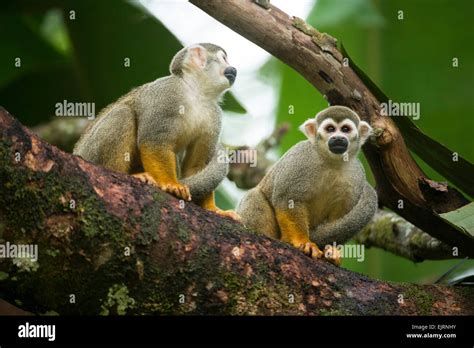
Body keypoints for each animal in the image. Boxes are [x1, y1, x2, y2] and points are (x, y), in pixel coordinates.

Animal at [74, 42, 239, 219]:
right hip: (90, 153)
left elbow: (197, 166)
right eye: (224, 58)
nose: (234, 69)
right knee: (123, 114)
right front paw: (171, 184)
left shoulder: (214, 115)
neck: (196, 94)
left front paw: (213, 210)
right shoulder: (168, 93)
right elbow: (154, 142)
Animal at [237, 106, 378, 264]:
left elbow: (339, 218)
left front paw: (332, 249)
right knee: (254, 196)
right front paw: (304, 241)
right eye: (330, 129)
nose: (338, 138)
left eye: (345, 129)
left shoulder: (357, 174)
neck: (331, 161)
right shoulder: (301, 157)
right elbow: (288, 199)